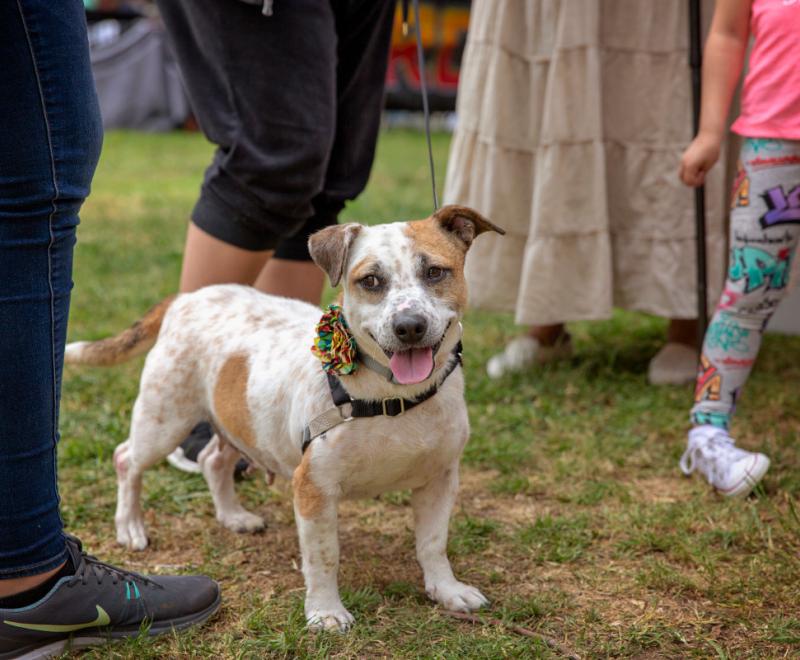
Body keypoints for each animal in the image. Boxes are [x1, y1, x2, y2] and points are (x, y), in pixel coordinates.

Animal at [67, 205, 506, 628]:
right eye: (371, 281)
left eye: (434, 272)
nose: (409, 326)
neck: (394, 397)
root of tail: (185, 298)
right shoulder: (314, 489)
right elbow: (324, 557)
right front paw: (325, 612)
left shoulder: (440, 479)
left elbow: (433, 544)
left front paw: (446, 590)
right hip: (164, 421)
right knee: (127, 459)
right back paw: (130, 526)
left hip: (240, 419)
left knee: (213, 460)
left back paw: (233, 516)